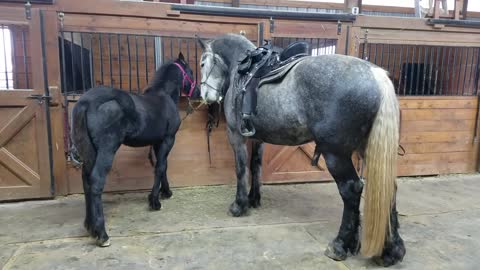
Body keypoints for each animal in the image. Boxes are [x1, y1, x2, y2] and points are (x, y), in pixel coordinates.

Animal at [197, 34, 404, 266]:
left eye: (203, 63)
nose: (205, 95)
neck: (242, 69)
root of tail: (375, 75)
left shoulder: (236, 136)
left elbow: (241, 170)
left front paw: (239, 205)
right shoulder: (258, 139)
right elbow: (255, 167)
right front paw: (253, 199)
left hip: (336, 155)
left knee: (351, 189)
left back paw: (340, 245)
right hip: (366, 150)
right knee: (388, 188)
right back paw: (391, 251)